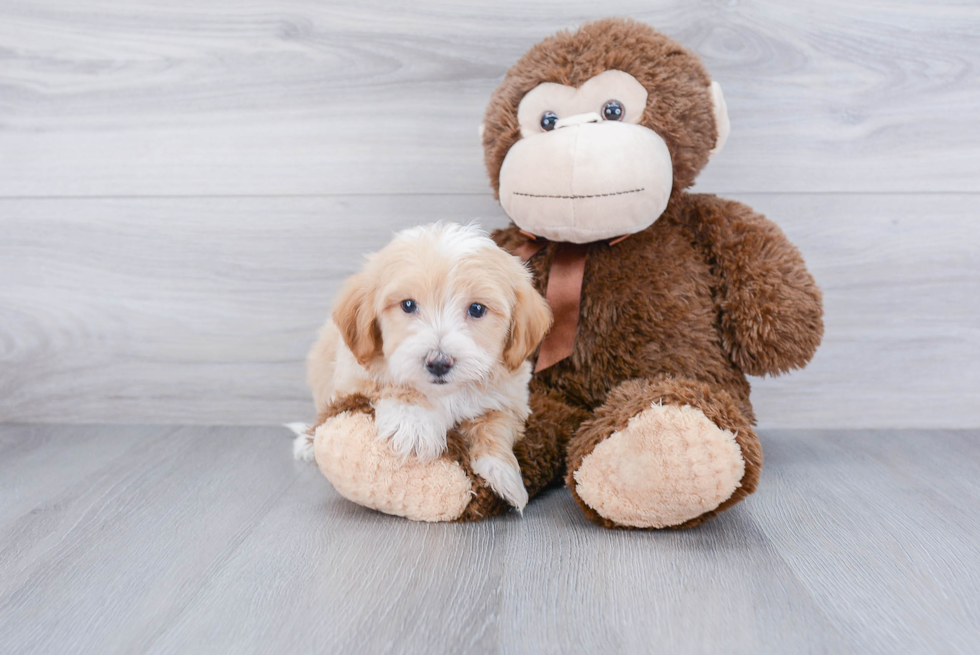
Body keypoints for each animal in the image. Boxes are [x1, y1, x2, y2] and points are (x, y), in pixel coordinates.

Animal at [290, 224, 552, 512]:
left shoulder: (511, 396)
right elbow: (393, 384)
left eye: (476, 309)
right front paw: (413, 423)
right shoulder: (356, 375)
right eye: (408, 305)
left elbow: (496, 422)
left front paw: (504, 474)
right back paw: (306, 443)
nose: (438, 362)